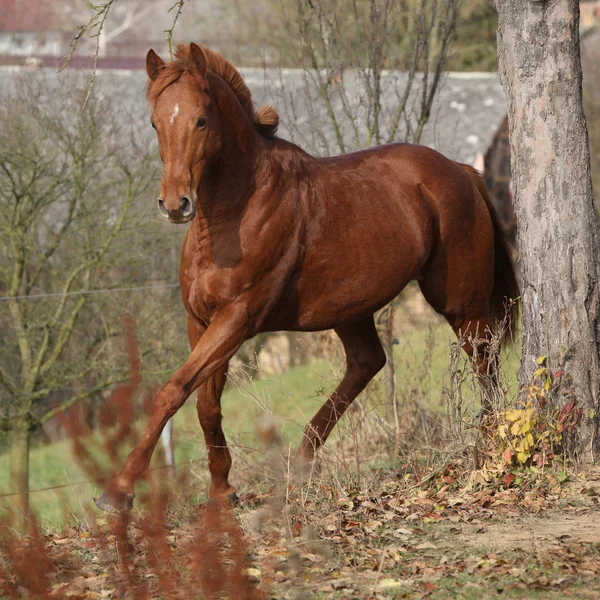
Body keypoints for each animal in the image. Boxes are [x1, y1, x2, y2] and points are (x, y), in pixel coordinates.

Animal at [96, 42, 516, 512]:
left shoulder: (237, 318)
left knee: (483, 356)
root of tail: (461, 170)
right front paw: (222, 490)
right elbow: (204, 403)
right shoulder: (200, 320)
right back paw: (302, 461)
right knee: (368, 362)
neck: (234, 213)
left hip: (460, 301)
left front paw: (118, 491)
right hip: (351, 307)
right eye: (155, 122)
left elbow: (173, 391)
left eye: (201, 120)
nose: (175, 204)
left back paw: (490, 441)